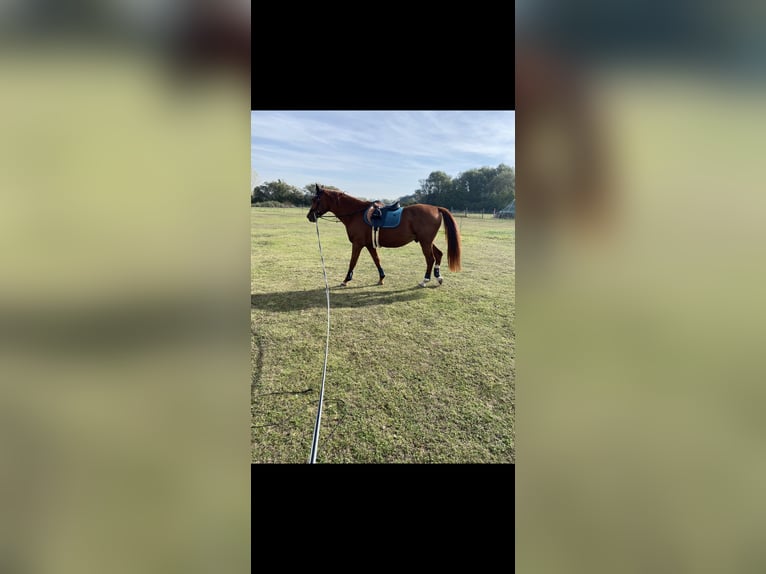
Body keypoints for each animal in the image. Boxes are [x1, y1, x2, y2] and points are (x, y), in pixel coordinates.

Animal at [306, 186, 462, 288]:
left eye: (315, 199)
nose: (309, 216)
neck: (356, 214)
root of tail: (436, 208)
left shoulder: (357, 244)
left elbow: (352, 262)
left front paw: (346, 280)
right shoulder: (369, 245)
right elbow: (377, 260)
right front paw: (381, 278)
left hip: (425, 242)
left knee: (430, 259)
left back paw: (425, 280)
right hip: (427, 241)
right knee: (439, 254)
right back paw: (438, 277)